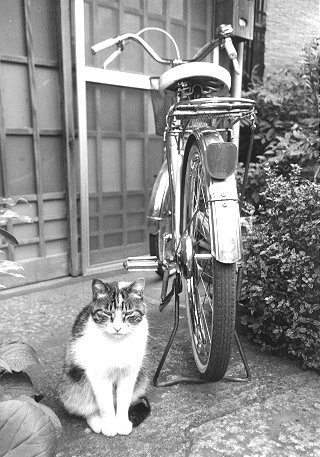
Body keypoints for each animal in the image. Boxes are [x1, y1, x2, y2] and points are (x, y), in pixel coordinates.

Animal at [58, 276, 151, 436]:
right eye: (107, 313)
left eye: (129, 313)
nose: (117, 328)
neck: (117, 344)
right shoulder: (98, 375)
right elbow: (105, 406)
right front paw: (109, 425)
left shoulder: (129, 373)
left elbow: (123, 401)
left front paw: (121, 423)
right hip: (76, 380)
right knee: (87, 406)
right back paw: (97, 423)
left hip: (141, 376)